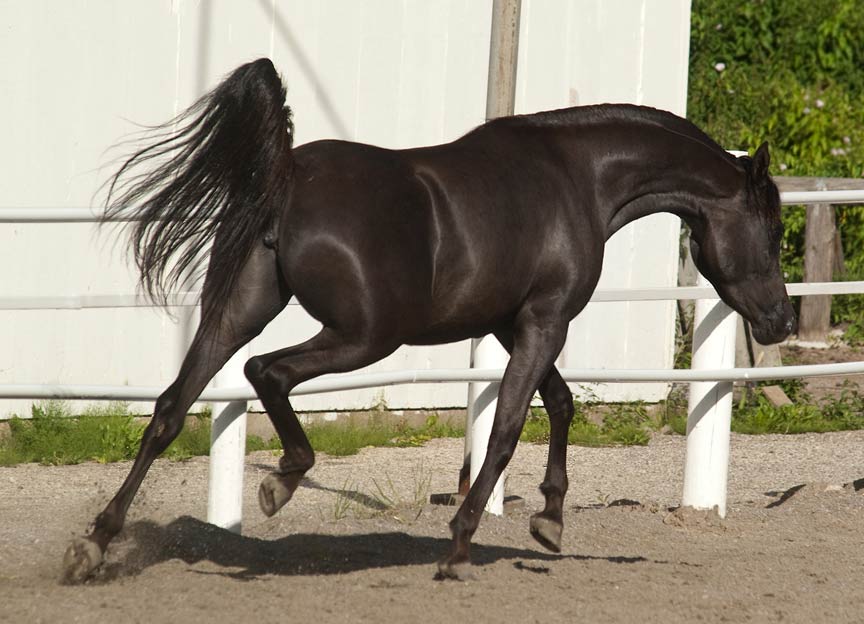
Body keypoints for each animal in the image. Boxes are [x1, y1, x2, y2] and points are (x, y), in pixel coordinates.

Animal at [64, 56, 796, 584]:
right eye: (773, 228)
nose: (782, 321)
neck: (576, 179)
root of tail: (287, 173)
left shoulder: (509, 321)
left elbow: (558, 404)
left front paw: (550, 520)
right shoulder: (546, 319)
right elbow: (506, 429)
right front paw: (461, 546)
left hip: (238, 311)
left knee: (169, 408)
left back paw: (94, 546)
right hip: (365, 337)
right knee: (265, 372)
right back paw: (279, 482)